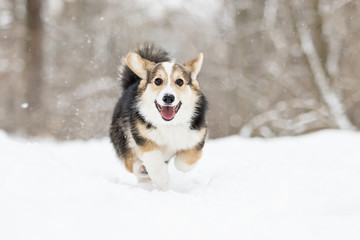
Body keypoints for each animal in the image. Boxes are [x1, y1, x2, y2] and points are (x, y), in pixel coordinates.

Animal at [109, 43, 208, 189]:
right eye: (158, 81)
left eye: (179, 82)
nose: (168, 98)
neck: (169, 124)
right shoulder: (143, 138)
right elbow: (153, 158)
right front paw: (162, 179)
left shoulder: (197, 137)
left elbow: (186, 161)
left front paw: (179, 160)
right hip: (122, 138)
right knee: (131, 163)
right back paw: (142, 170)